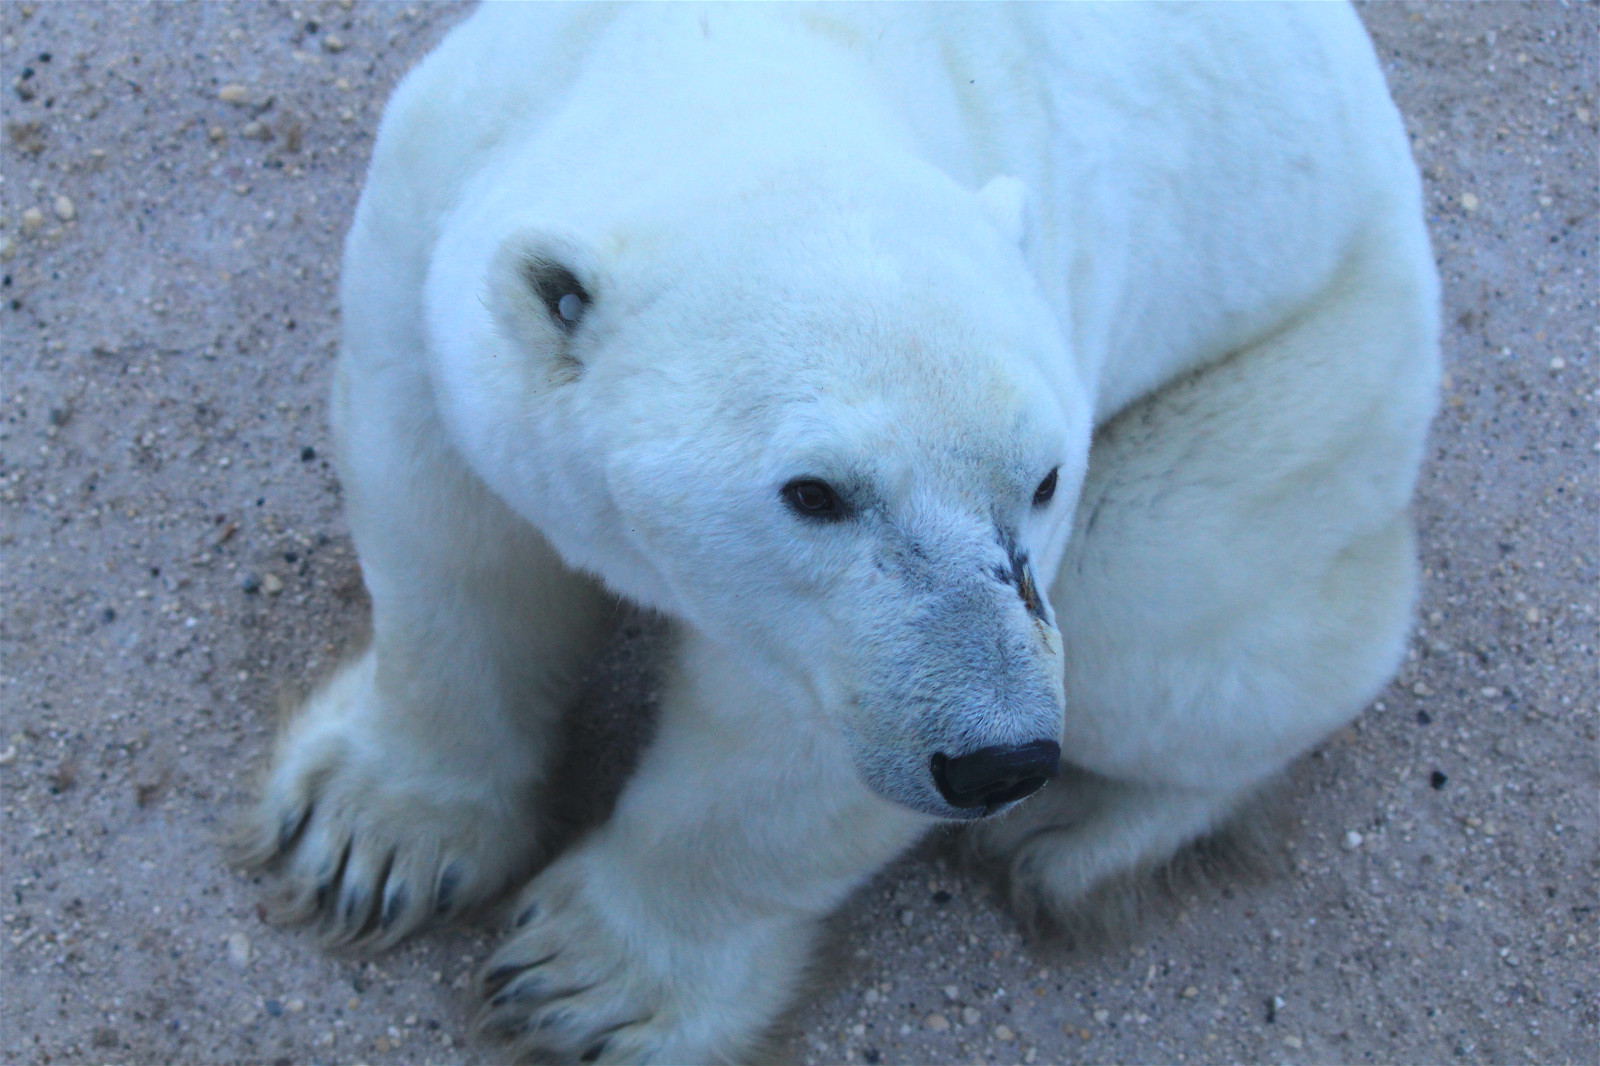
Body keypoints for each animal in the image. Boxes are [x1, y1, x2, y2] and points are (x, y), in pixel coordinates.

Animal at [233, 4, 1440, 1056]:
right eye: (815, 491)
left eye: (1043, 479)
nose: (1002, 760)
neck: (748, 57)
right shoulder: (431, 208)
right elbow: (447, 536)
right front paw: (368, 839)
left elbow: (786, 747)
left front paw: (583, 986)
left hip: (1300, 400)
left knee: (1173, 626)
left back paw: (1078, 839)